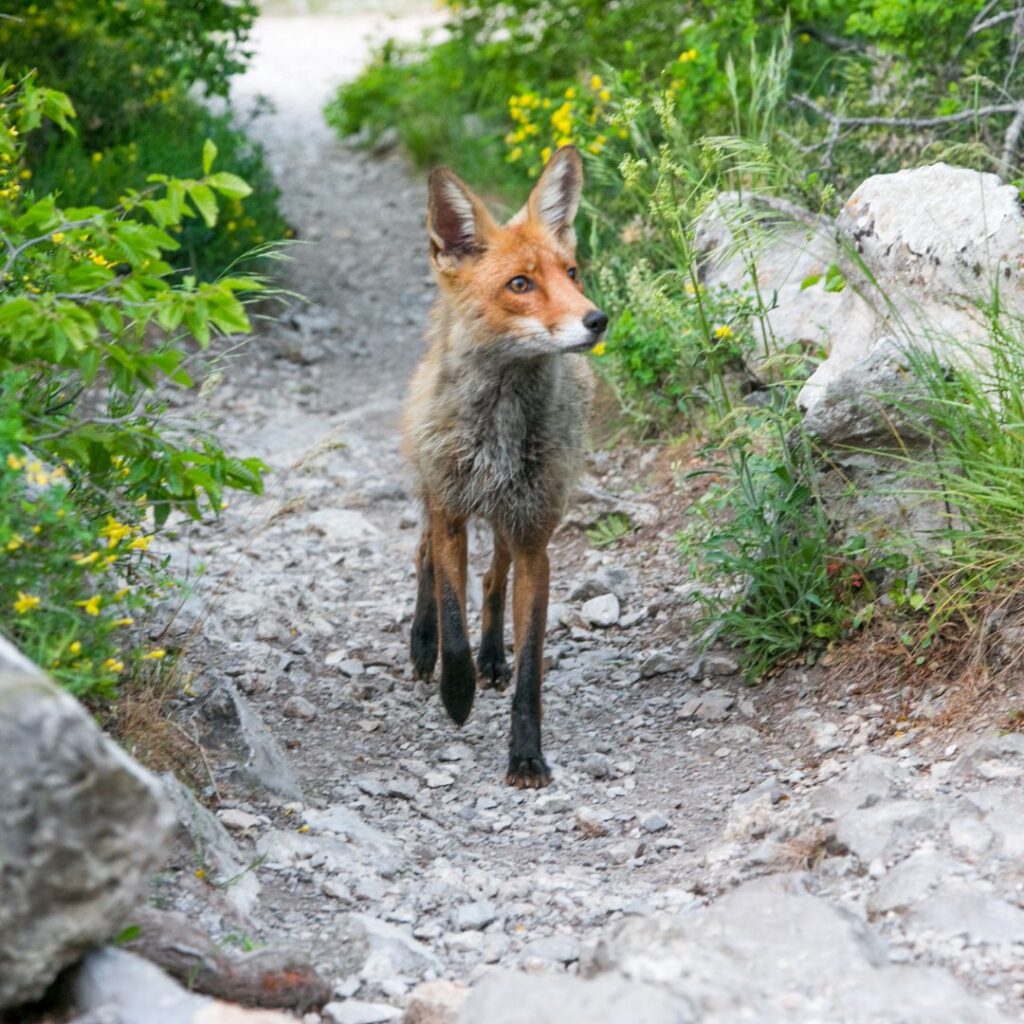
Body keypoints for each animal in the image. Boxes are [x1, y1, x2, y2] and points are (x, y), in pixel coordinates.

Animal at [399, 144, 606, 786]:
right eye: (521, 283)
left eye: (572, 273)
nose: (597, 319)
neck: (501, 434)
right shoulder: (451, 515)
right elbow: (452, 616)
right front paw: (456, 691)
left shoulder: (537, 538)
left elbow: (531, 669)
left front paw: (526, 755)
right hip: (439, 497)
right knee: (423, 560)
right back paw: (423, 647)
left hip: (512, 522)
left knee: (493, 579)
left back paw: (493, 656)